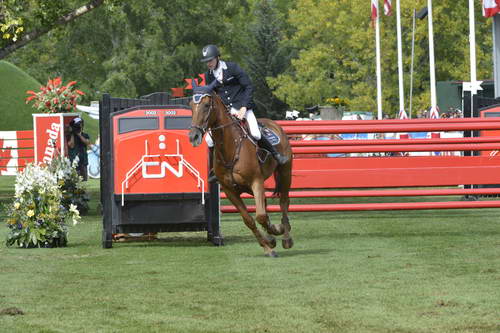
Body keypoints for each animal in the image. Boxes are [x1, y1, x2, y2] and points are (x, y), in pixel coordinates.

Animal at [187, 80, 292, 256]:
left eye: (207, 105)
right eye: (191, 106)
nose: (193, 136)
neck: (230, 146)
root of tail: (273, 124)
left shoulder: (256, 182)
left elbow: (260, 216)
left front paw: (274, 233)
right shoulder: (230, 190)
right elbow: (249, 219)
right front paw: (268, 245)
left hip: (285, 173)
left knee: (283, 202)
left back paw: (285, 236)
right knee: (265, 204)